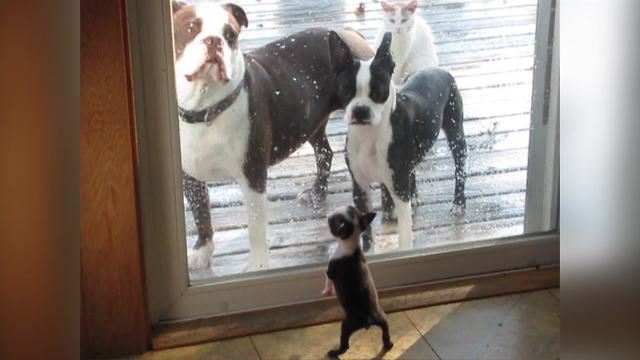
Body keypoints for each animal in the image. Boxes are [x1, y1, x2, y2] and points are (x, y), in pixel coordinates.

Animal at [171, 0, 376, 270]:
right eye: (191, 27)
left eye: (231, 35)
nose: (214, 40)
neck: (206, 108)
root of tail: (351, 33)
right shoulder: (190, 178)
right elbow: (201, 214)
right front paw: (202, 251)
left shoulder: (253, 175)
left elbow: (256, 227)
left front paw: (258, 265)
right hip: (310, 123)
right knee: (325, 152)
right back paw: (316, 193)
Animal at [322, 205, 392, 358]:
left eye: (332, 221)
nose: (329, 214)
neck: (350, 244)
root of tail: (370, 318)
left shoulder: (331, 269)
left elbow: (328, 279)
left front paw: (326, 291)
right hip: (383, 317)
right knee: (385, 332)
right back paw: (388, 345)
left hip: (347, 324)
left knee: (345, 345)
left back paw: (334, 353)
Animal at [338, 33, 468, 250]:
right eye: (346, 91)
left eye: (378, 91)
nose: (360, 109)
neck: (368, 135)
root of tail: (436, 69)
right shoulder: (360, 186)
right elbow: (367, 231)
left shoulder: (398, 185)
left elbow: (405, 230)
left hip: (455, 131)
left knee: (460, 166)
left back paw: (458, 203)